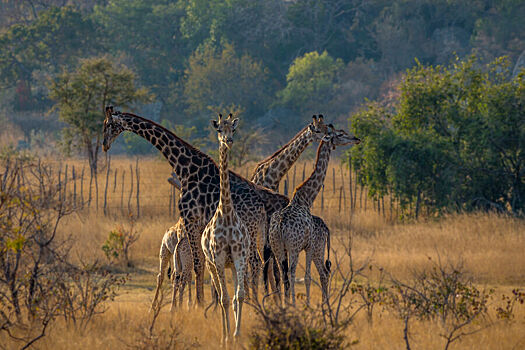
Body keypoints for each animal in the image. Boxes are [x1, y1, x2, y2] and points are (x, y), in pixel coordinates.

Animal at [268, 126, 358, 306]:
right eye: (340, 134)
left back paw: (286, 304)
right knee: (296, 272)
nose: (356, 139)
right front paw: (307, 304)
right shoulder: (308, 246)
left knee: (283, 273)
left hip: (277, 247)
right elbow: (307, 276)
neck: (305, 199)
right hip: (294, 247)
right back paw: (299, 304)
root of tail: (280, 225)